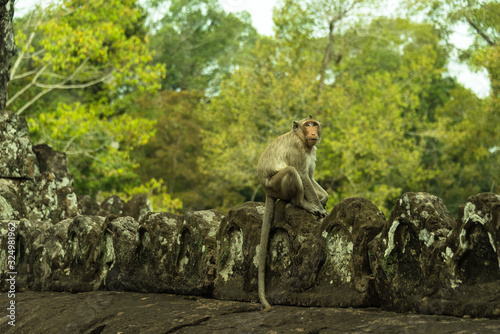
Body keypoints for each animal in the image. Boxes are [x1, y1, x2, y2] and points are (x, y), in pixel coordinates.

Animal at [256, 115, 330, 310]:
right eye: (307, 125)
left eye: (314, 125)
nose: (313, 132)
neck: (303, 141)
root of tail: (266, 190)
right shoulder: (297, 149)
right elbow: (303, 175)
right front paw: (319, 207)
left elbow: (310, 178)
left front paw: (324, 199)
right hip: (276, 185)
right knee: (291, 171)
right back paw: (302, 203)